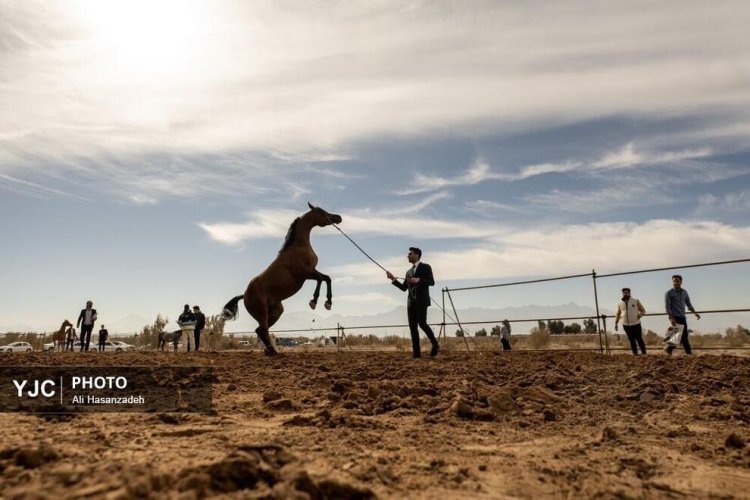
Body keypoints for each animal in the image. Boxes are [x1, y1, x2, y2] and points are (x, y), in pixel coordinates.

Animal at [222, 203, 342, 356]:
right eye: (321, 211)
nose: (338, 217)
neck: (298, 247)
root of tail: (244, 295)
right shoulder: (304, 273)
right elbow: (321, 279)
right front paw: (314, 302)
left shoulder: (311, 271)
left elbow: (327, 278)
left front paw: (328, 303)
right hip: (262, 312)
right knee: (262, 330)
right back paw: (272, 351)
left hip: (276, 311)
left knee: (260, 330)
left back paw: (271, 351)